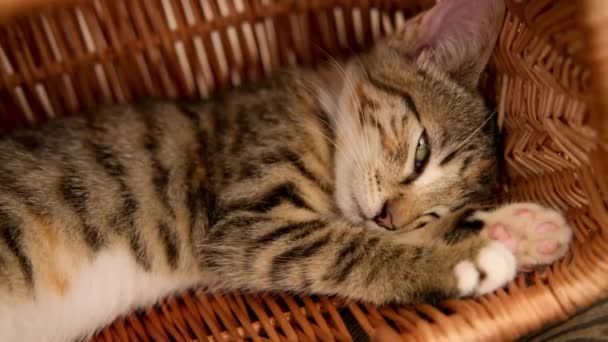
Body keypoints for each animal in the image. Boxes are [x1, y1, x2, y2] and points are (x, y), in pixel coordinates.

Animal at [0, 0, 572, 340]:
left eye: (437, 207)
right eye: (421, 152)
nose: (390, 216)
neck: (322, 120)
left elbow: (367, 233)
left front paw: (517, 228)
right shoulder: (247, 225)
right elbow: (348, 247)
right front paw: (465, 261)